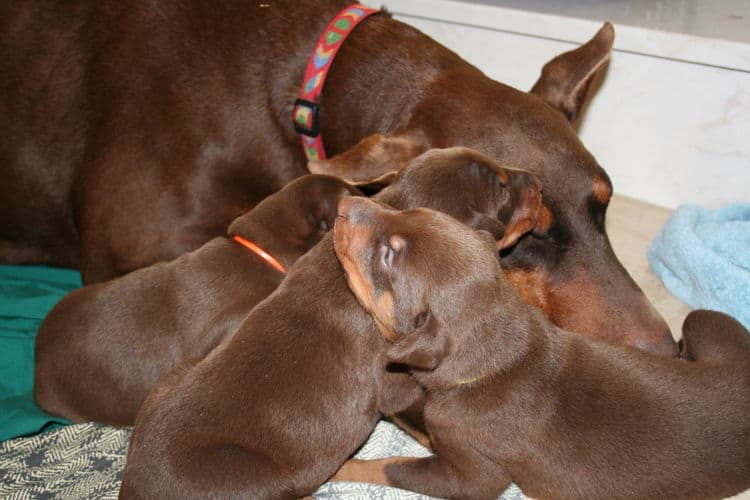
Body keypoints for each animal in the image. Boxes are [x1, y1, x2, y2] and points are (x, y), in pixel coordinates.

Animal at [116, 146, 540, 498]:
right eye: (503, 188)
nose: (538, 182)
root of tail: (133, 489)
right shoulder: (397, 383)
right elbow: (422, 419)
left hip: (171, 379)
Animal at [334, 196, 750, 500]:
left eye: (389, 255)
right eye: (410, 211)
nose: (345, 201)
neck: (498, 361)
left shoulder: (471, 473)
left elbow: (391, 465)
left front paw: (341, 468)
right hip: (708, 321)